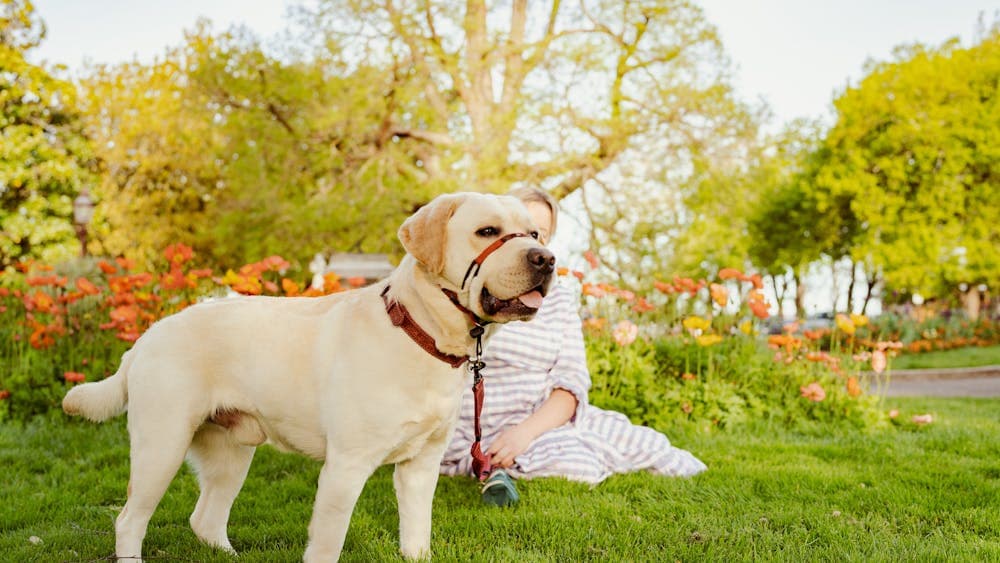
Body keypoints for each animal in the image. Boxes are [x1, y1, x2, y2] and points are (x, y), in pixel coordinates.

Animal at [64, 192, 556, 560]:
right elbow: (327, 545)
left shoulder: (421, 466)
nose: (546, 259)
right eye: (487, 232)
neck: (420, 332)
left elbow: (417, 539)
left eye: (534, 233)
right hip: (161, 446)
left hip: (232, 452)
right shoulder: (345, 467)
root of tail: (145, 338)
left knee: (204, 520)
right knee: (129, 520)